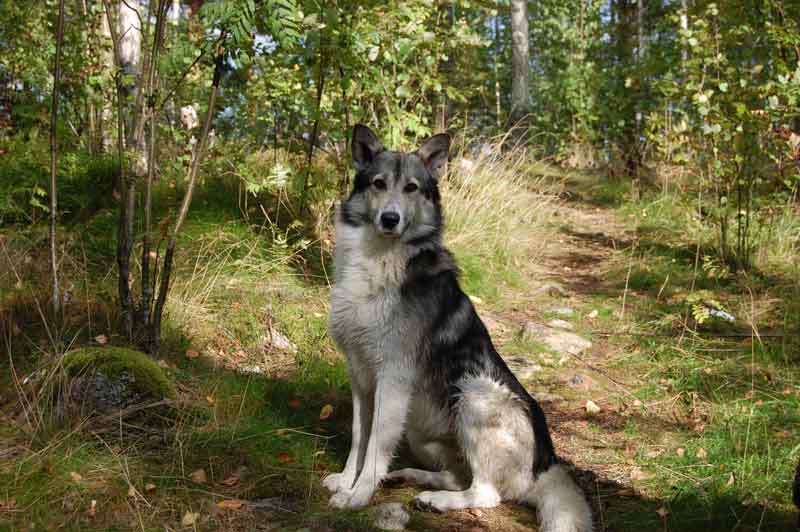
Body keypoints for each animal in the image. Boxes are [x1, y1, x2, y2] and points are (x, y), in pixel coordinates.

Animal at [324, 124, 593, 532]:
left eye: (412, 188)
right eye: (378, 184)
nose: (390, 219)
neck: (378, 261)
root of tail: (545, 468)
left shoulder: (393, 379)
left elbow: (375, 447)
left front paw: (359, 495)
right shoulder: (360, 377)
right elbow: (359, 438)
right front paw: (345, 480)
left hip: (473, 394)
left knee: (485, 492)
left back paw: (438, 500)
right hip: (421, 430)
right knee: (457, 475)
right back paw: (412, 478)